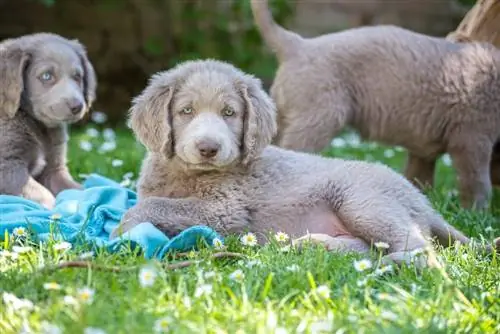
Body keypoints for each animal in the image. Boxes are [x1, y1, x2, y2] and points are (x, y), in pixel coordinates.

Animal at [0, 32, 96, 209]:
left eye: (77, 77)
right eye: (47, 76)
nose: (78, 106)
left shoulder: (54, 168)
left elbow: (77, 189)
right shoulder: (8, 166)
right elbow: (41, 193)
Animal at [110, 59, 500, 268]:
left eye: (230, 113)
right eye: (186, 111)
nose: (208, 148)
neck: (188, 174)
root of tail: (423, 203)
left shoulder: (224, 209)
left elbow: (147, 207)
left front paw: (117, 233)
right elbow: (149, 201)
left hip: (364, 201)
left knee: (420, 249)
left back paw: (391, 267)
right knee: (371, 247)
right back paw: (311, 246)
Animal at [250, 0, 500, 210]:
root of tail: (298, 45)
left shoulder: (427, 147)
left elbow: (419, 174)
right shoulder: (472, 139)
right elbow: (476, 180)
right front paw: (476, 211)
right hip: (316, 120)